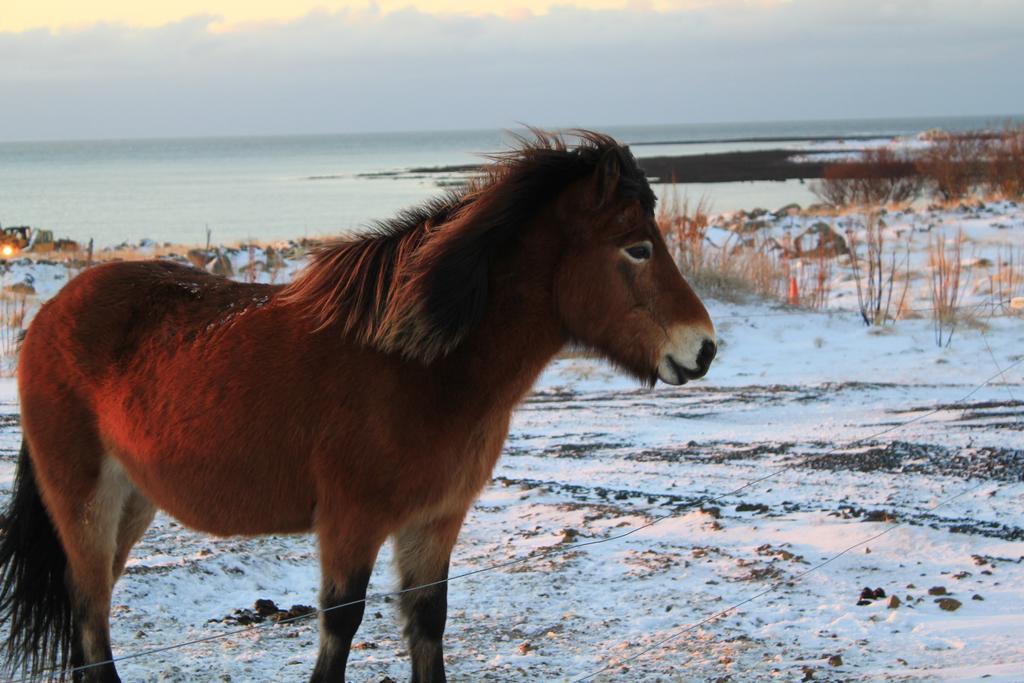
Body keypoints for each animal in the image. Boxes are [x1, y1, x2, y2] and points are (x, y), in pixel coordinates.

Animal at [0, 131, 716, 679]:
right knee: (91, 624)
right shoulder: (352, 523)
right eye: (636, 247)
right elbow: (339, 633)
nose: (704, 348)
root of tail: (48, 317)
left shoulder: (434, 524)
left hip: (133, 504)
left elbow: (429, 628)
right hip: (86, 506)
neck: (418, 365)